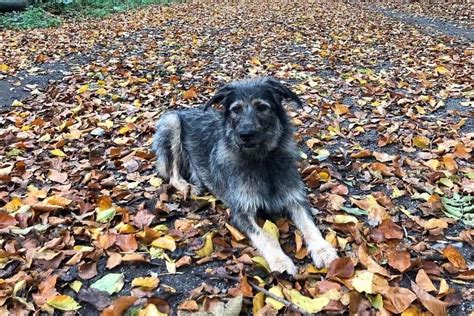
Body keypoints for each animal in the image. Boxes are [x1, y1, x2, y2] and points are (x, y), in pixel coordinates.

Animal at [152, 77, 336, 274]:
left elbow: (310, 226)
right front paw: (280, 261)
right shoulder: (240, 211)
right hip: (172, 122)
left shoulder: (295, 200)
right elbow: (266, 236)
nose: (245, 135)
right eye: (236, 109)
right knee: (172, 174)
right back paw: (188, 186)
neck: (261, 160)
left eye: (262, 107)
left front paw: (323, 250)